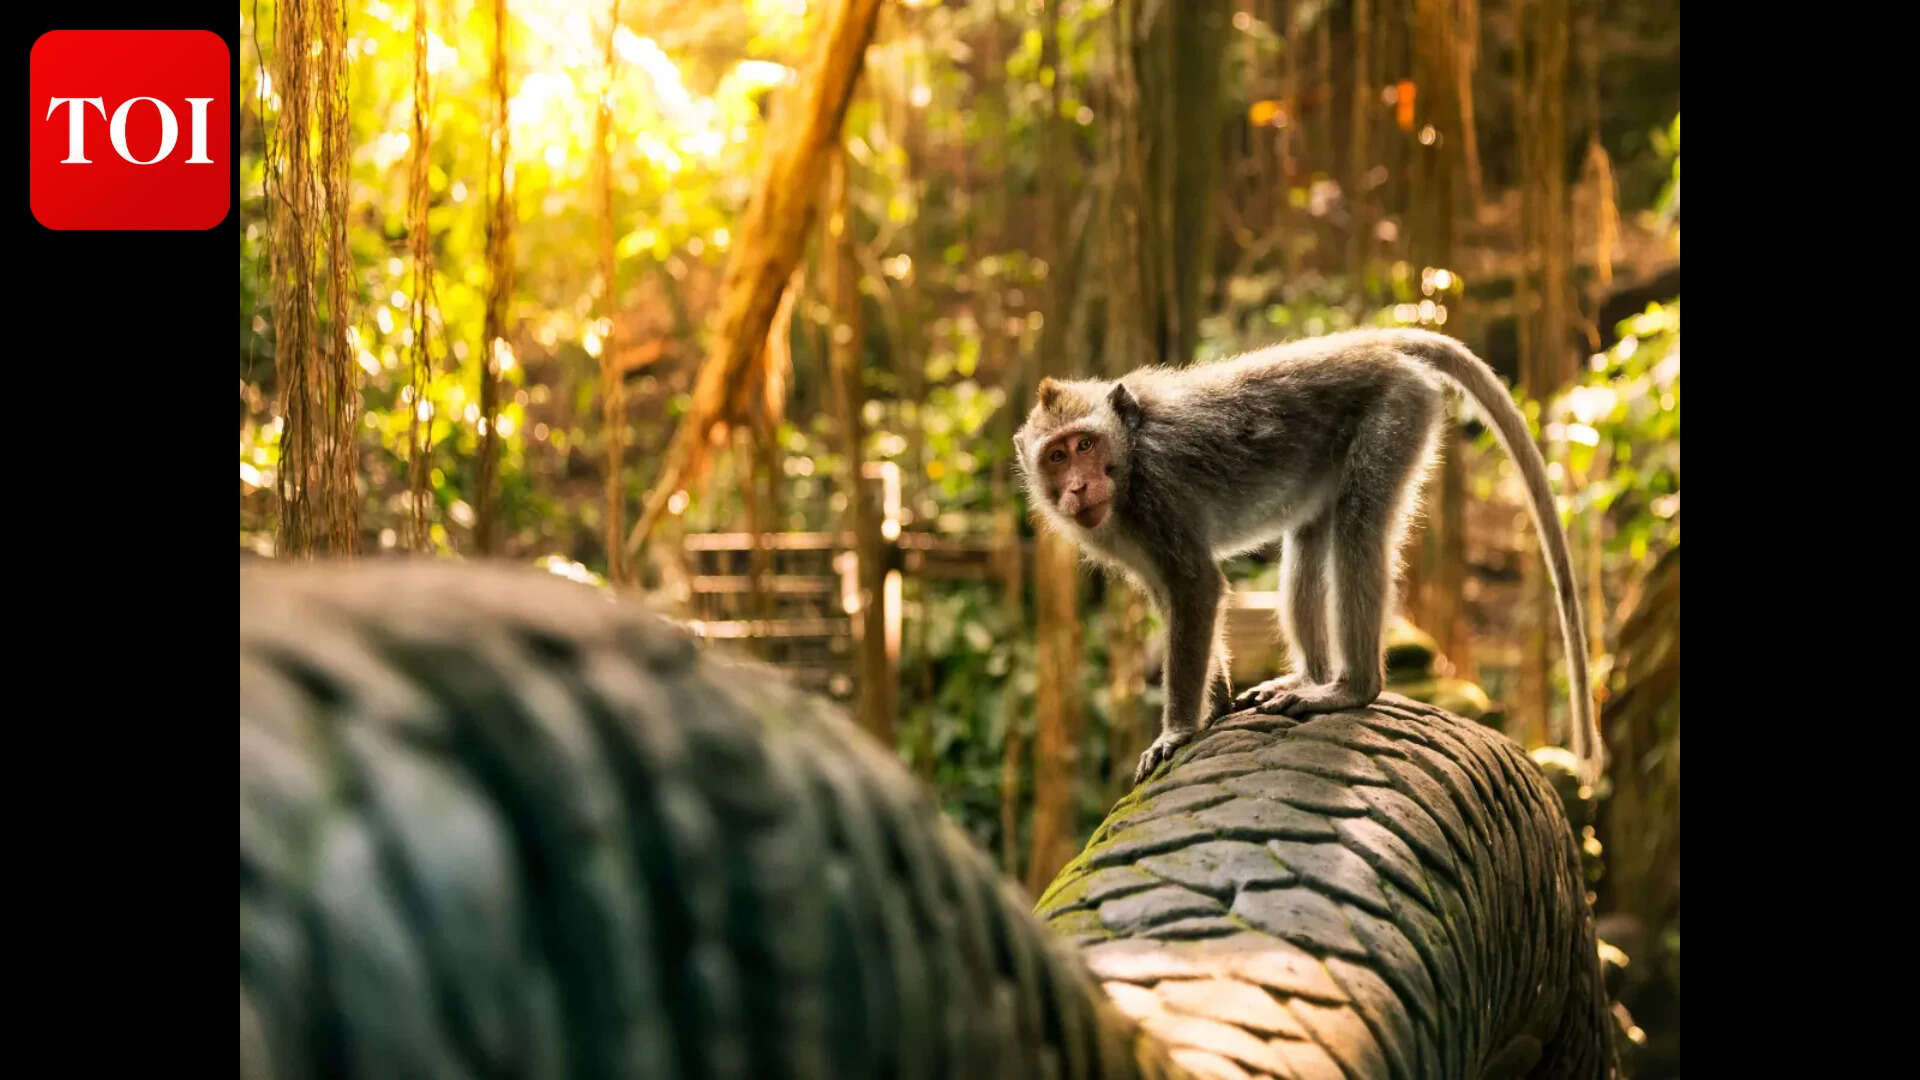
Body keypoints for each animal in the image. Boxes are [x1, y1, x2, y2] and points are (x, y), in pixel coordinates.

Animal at [1012, 327, 1602, 788]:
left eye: (1085, 445)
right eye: (1057, 456)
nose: (1078, 488)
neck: (1130, 460)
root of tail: (1373, 343)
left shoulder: (1159, 496)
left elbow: (1197, 588)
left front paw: (1177, 729)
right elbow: (1173, 596)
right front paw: (1217, 701)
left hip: (1396, 411)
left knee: (1358, 529)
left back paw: (1349, 689)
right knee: (1308, 538)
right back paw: (1308, 678)